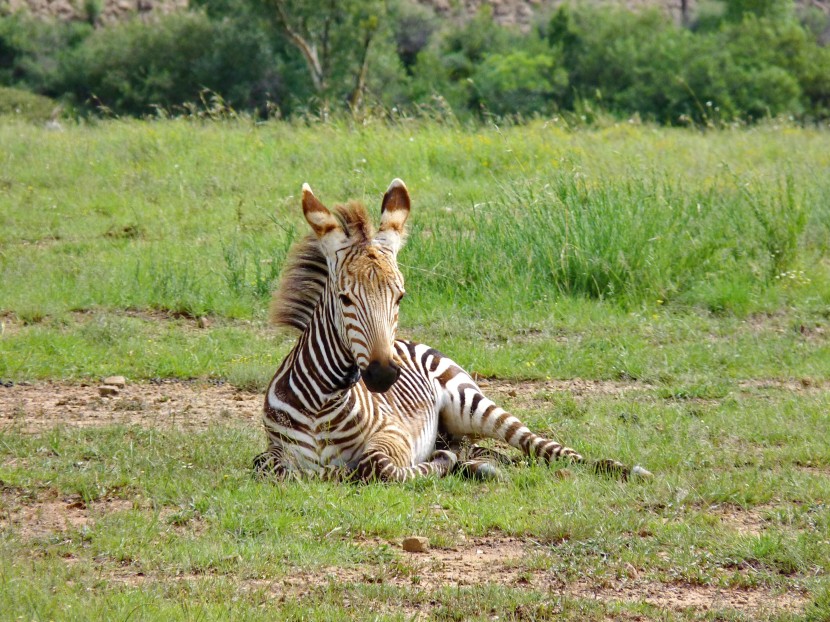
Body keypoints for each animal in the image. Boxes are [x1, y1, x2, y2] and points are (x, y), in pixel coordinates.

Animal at [256, 179, 652, 482]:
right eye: (344, 298)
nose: (383, 374)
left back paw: (622, 469)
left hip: (472, 403)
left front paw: (435, 464)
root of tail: (412, 343)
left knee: (540, 446)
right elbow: (269, 467)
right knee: (479, 450)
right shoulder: (273, 453)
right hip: (454, 429)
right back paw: (480, 467)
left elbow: (379, 467)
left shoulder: (394, 435)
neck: (322, 401)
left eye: (400, 296)